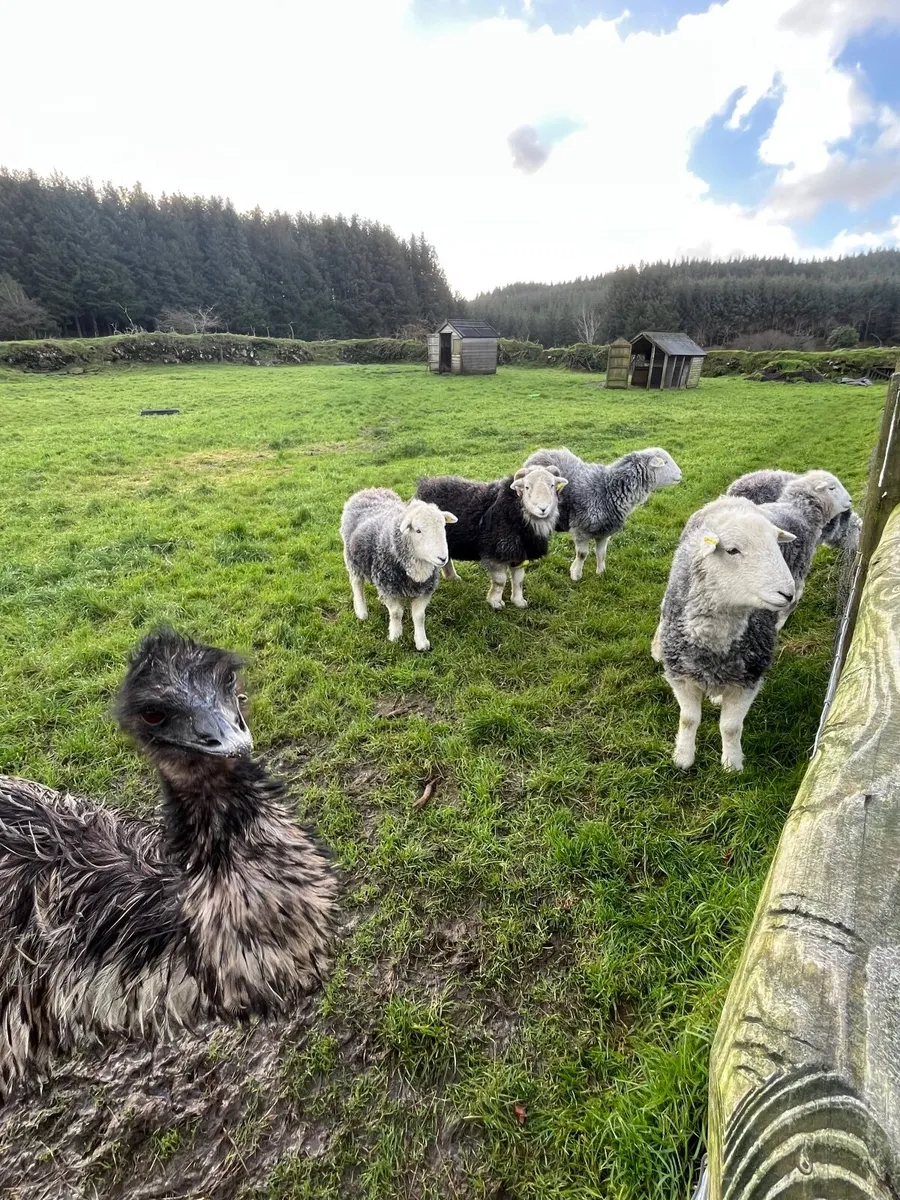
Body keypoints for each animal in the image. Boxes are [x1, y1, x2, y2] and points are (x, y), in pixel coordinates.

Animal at [340, 488, 457, 651]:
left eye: (443, 527)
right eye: (418, 531)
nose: (443, 558)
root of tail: (368, 490)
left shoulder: (425, 590)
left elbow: (419, 616)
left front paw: (421, 642)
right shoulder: (388, 587)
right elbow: (396, 613)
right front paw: (395, 636)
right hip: (352, 560)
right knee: (357, 584)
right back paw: (361, 612)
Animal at [415, 464, 567, 609]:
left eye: (552, 485)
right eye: (527, 487)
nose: (543, 508)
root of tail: (425, 484)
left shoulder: (519, 554)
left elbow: (519, 580)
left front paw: (519, 602)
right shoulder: (495, 554)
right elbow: (500, 581)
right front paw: (495, 603)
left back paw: (452, 577)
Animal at [524, 446, 682, 581]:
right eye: (665, 462)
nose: (681, 474)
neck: (608, 489)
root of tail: (539, 453)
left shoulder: (604, 531)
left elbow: (601, 553)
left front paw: (601, 573)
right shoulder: (581, 529)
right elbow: (582, 554)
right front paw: (576, 575)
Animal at [651, 496, 797, 772]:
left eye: (776, 545)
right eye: (732, 550)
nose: (788, 594)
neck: (714, 643)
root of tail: (731, 499)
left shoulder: (748, 680)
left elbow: (730, 727)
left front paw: (732, 764)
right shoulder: (681, 676)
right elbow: (688, 719)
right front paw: (683, 757)